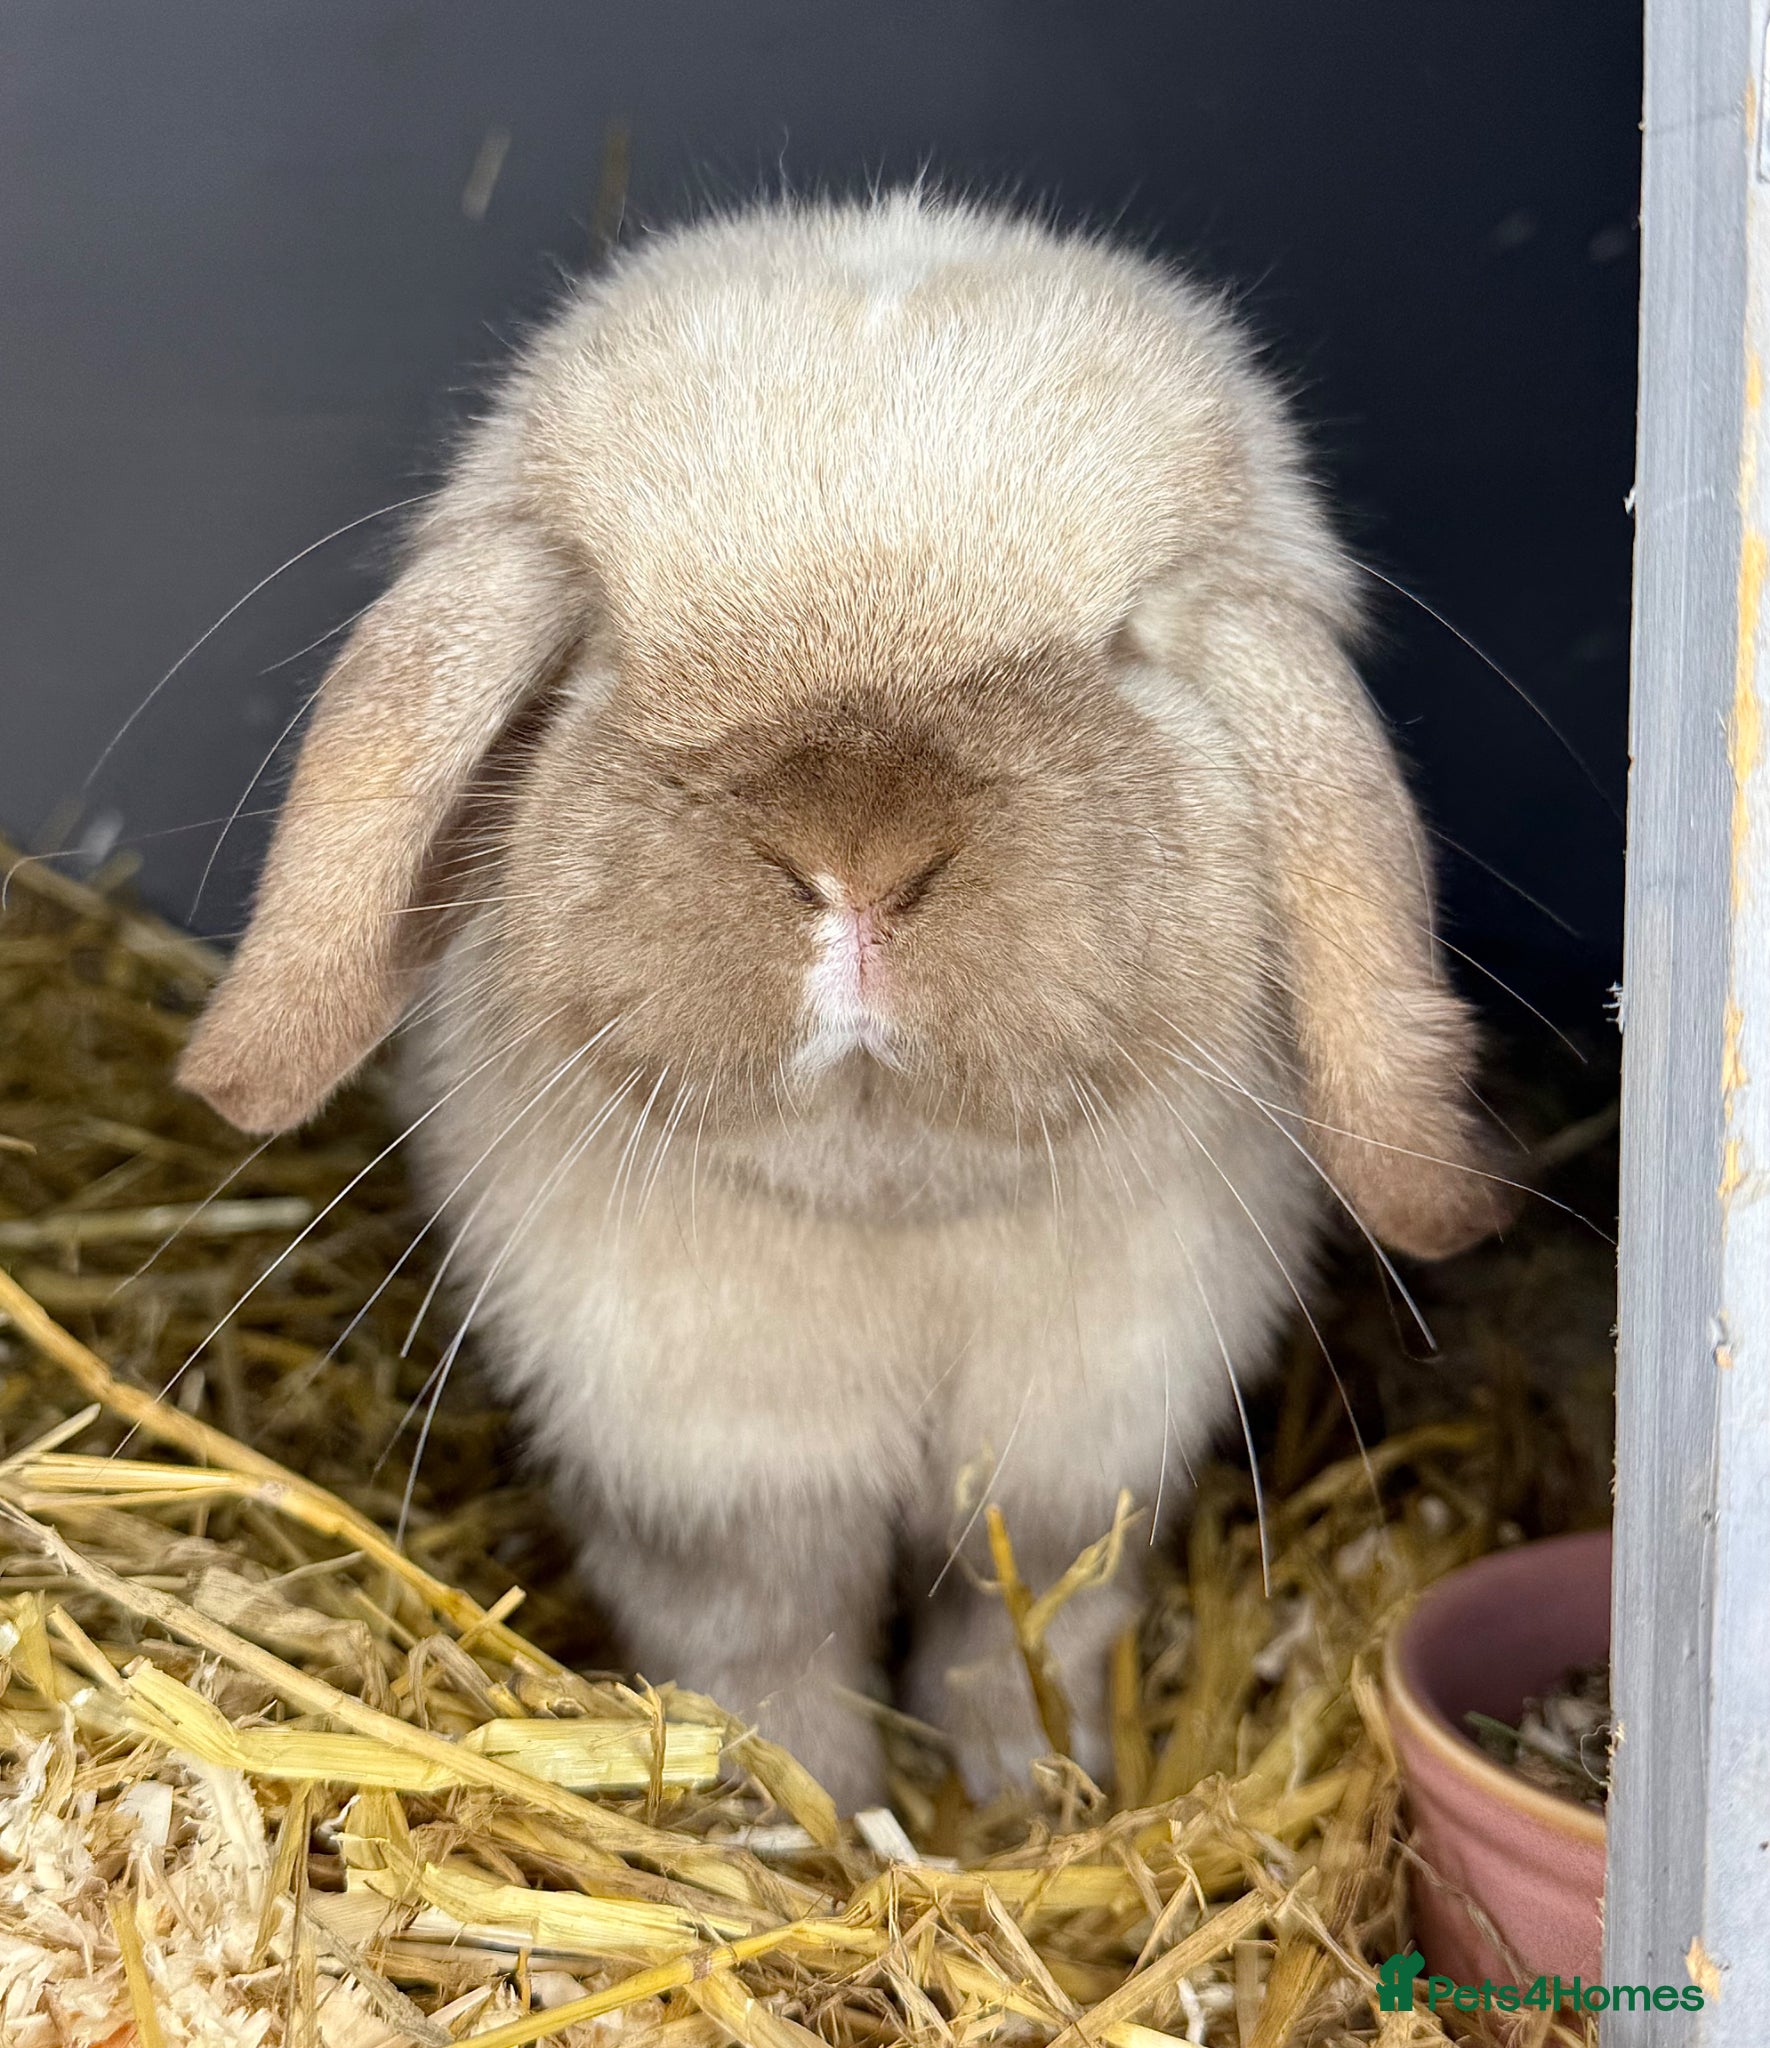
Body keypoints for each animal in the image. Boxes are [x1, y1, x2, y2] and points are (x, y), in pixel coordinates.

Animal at [177, 190, 1510, 1811]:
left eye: (1127, 643)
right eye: (607, 636)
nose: (859, 851)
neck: (892, 1216)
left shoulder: (1082, 1461)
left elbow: (1019, 1630)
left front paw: (1028, 1800)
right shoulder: (710, 1477)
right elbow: (770, 1652)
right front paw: (803, 1811)